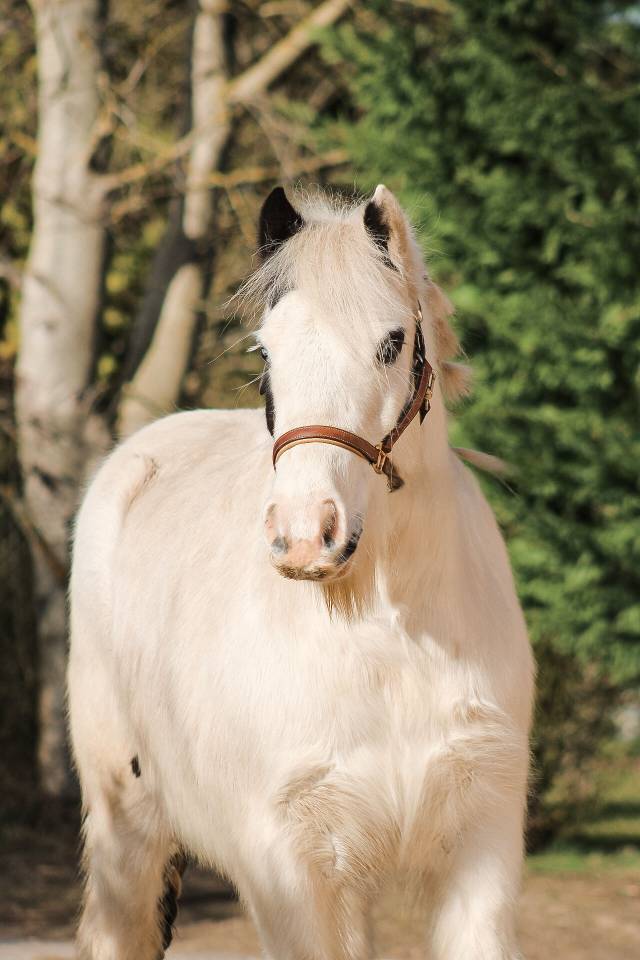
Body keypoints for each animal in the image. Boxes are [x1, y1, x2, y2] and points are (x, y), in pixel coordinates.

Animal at [68, 184, 534, 960]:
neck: (387, 635)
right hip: (123, 831)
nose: (304, 536)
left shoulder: (480, 848)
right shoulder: (289, 869)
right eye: (266, 350)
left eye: (392, 343)